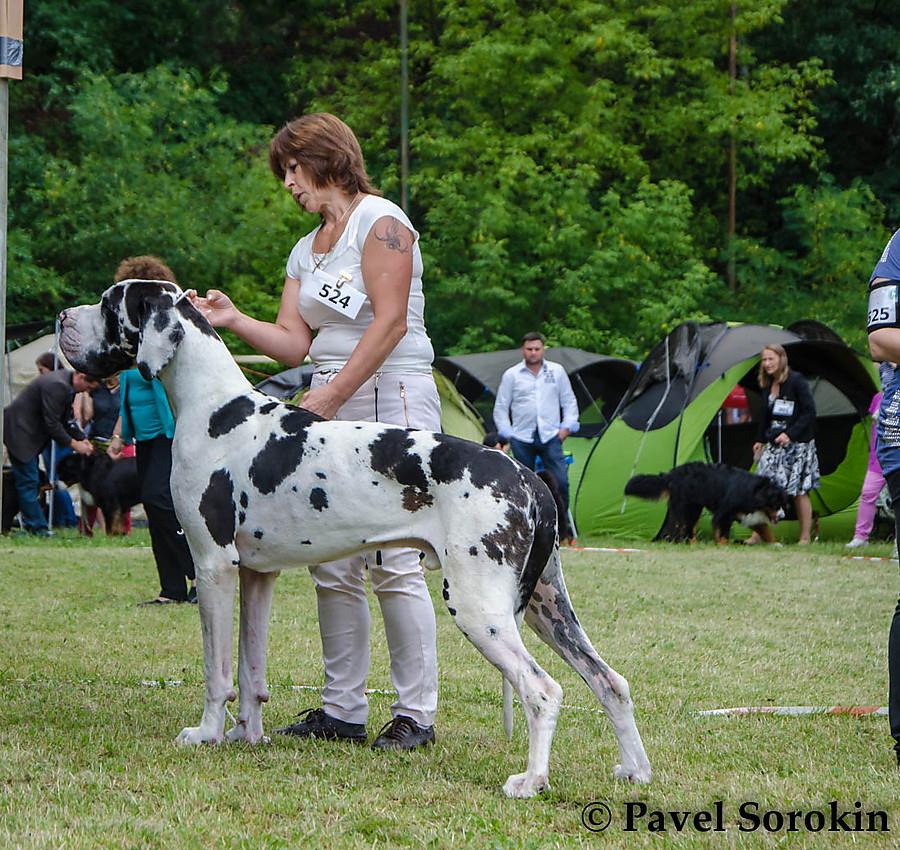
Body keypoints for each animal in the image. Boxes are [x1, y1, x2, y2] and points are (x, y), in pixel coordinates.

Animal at [58, 280, 652, 796]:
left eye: (109, 303)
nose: (63, 317)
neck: (214, 410)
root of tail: (530, 477)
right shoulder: (257, 575)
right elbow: (251, 672)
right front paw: (245, 736)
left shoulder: (212, 567)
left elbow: (217, 670)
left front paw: (206, 734)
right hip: (547, 607)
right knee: (610, 681)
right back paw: (635, 771)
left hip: (479, 605)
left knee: (543, 691)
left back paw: (531, 781)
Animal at [624, 460, 788, 540]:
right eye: (776, 505)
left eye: (783, 505)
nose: (782, 516)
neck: (754, 491)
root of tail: (672, 474)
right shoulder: (725, 513)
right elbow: (722, 533)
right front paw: (723, 545)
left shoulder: (746, 514)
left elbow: (764, 529)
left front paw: (775, 543)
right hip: (690, 507)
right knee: (686, 528)